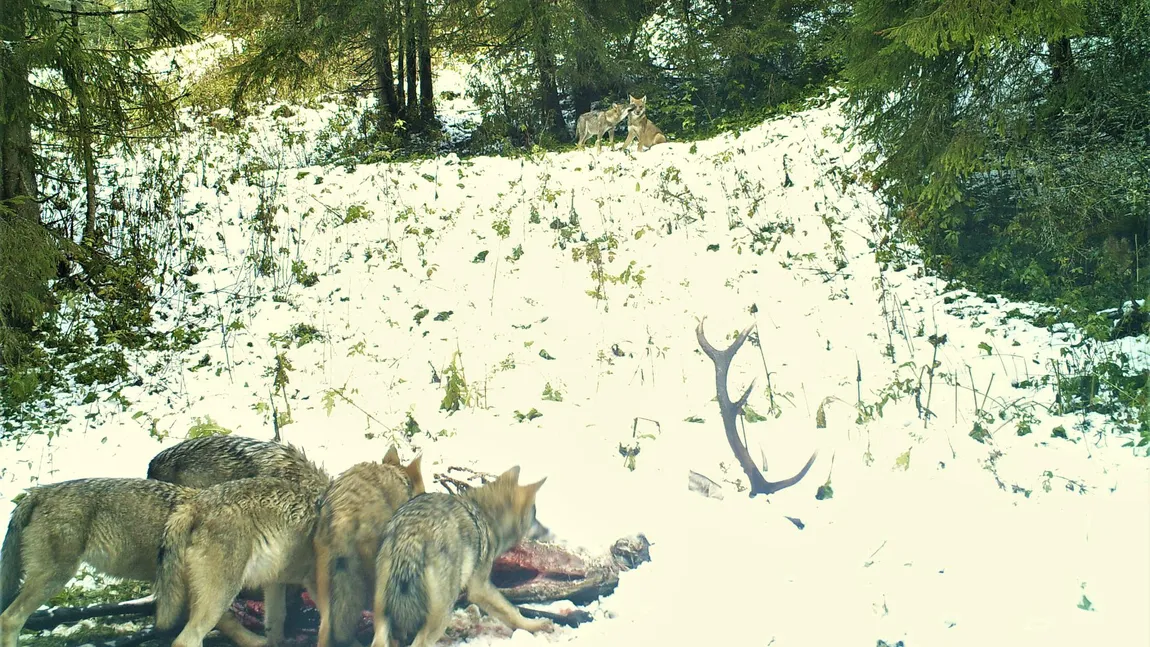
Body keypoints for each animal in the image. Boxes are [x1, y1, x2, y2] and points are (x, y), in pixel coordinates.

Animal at [365, 468, 549, 647]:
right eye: (535, 515)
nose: (548, 530)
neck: (485, 514)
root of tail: (413, 534)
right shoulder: (480, 588)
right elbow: (511, 610)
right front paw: (535, 625)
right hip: (442, 615)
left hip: (382, 617)